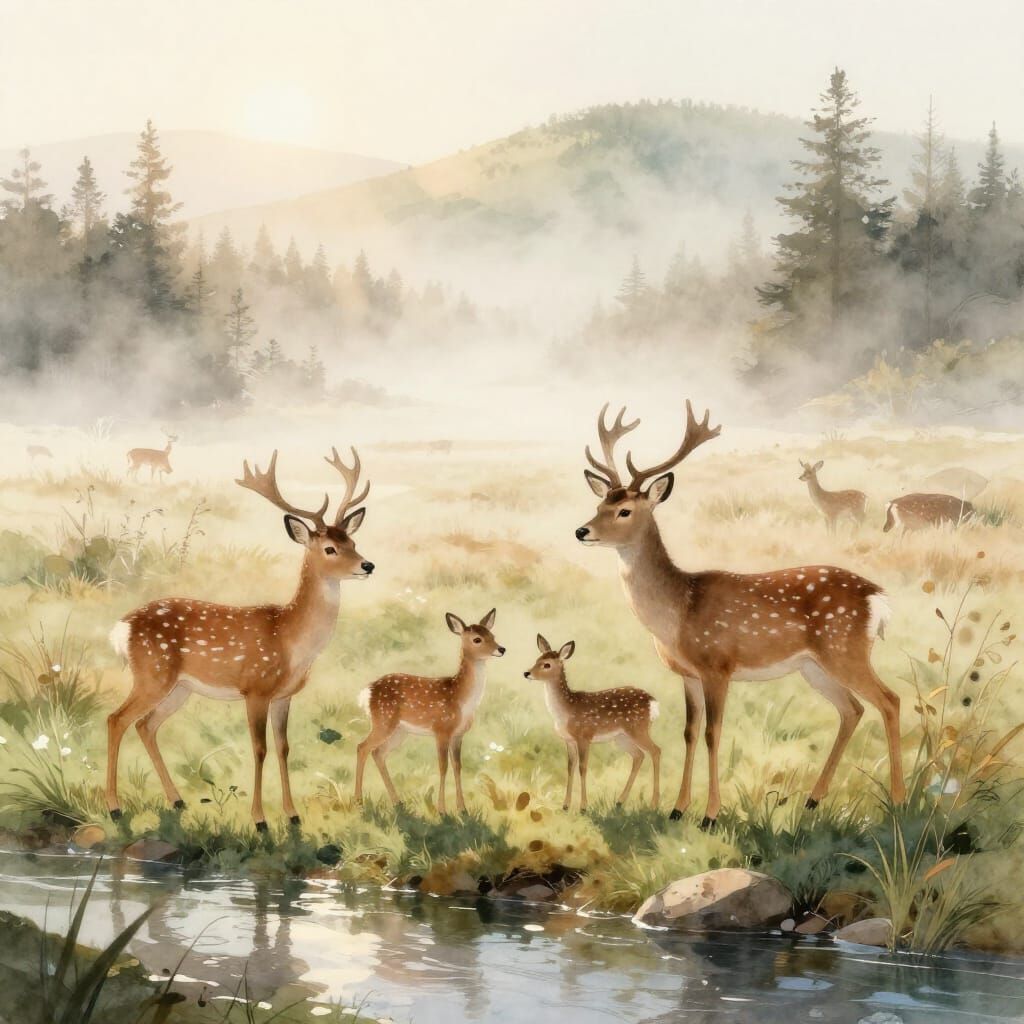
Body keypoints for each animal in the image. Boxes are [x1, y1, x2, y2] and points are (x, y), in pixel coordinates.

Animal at [106, 446, 374, 831]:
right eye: (329, 549)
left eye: (352, 541)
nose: (367, 565)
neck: (291, 640)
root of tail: (121, 628)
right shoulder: (255, 688)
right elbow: (259, 749)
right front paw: (260, 820)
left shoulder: (284, 695)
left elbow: (283, 747)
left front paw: (292, 815)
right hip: (151, 673)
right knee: (117, 719)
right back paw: (114, 807)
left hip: (179, 687)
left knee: (146, 725)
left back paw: (177, 801)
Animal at [355, 609, 505, 815]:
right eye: (477, 639)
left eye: (493, 635)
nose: (502, 649)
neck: (461, 698)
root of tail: (367, 691)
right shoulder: (441, 729)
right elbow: (443, 766)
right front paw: (441, 809)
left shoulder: (458, 734)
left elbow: (457, 766)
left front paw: (462, 808)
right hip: (383, 720)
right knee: (362, 747)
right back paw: (358, 801)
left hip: (399, 731)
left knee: (378, 753)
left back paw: (397, 801)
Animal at [524, 634, 660, 812]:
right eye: (537, 659)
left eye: (547, 664)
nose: (526, 673)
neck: (565, 711)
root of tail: (653, 703)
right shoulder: (569, 740)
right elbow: (570, 767)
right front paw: (566, 805)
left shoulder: (584, 736)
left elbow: (582, 768)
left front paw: (583, 807)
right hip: (622, 737)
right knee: (639, 756)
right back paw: (619, 801)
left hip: (638, 728)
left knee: (655, 751)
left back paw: (654, 804)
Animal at [575, 402, 905, 829]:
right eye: (600, 505)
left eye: (624, 511)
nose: (581, 531)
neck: (678, 611)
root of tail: (878, 598)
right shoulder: (688, 674)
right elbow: (689, 732)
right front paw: (678, 809)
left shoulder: (718, 665)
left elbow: (713, 733)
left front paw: (710, 815)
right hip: (813, 665)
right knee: (852, 709)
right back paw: (813, 800)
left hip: (844, 647)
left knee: (890, 700)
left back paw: (898, 800)